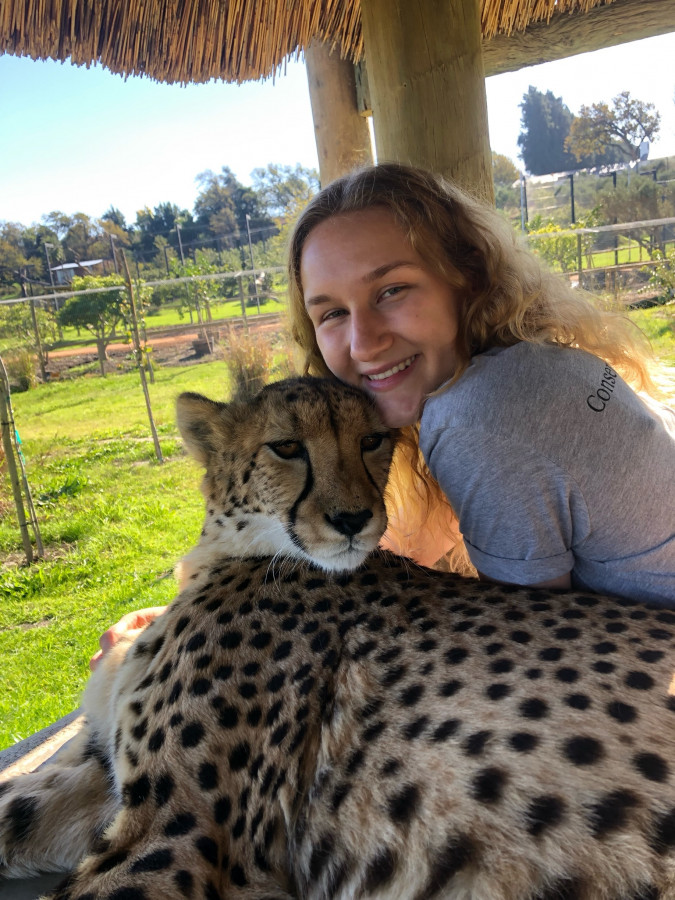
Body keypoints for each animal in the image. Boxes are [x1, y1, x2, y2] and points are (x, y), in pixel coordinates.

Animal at [1, 375, 675, 900]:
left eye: (371, 440)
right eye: (286, 447)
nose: (352, 519)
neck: (247, 554)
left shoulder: (181, 840)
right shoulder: (104, 780)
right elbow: (16, 805)